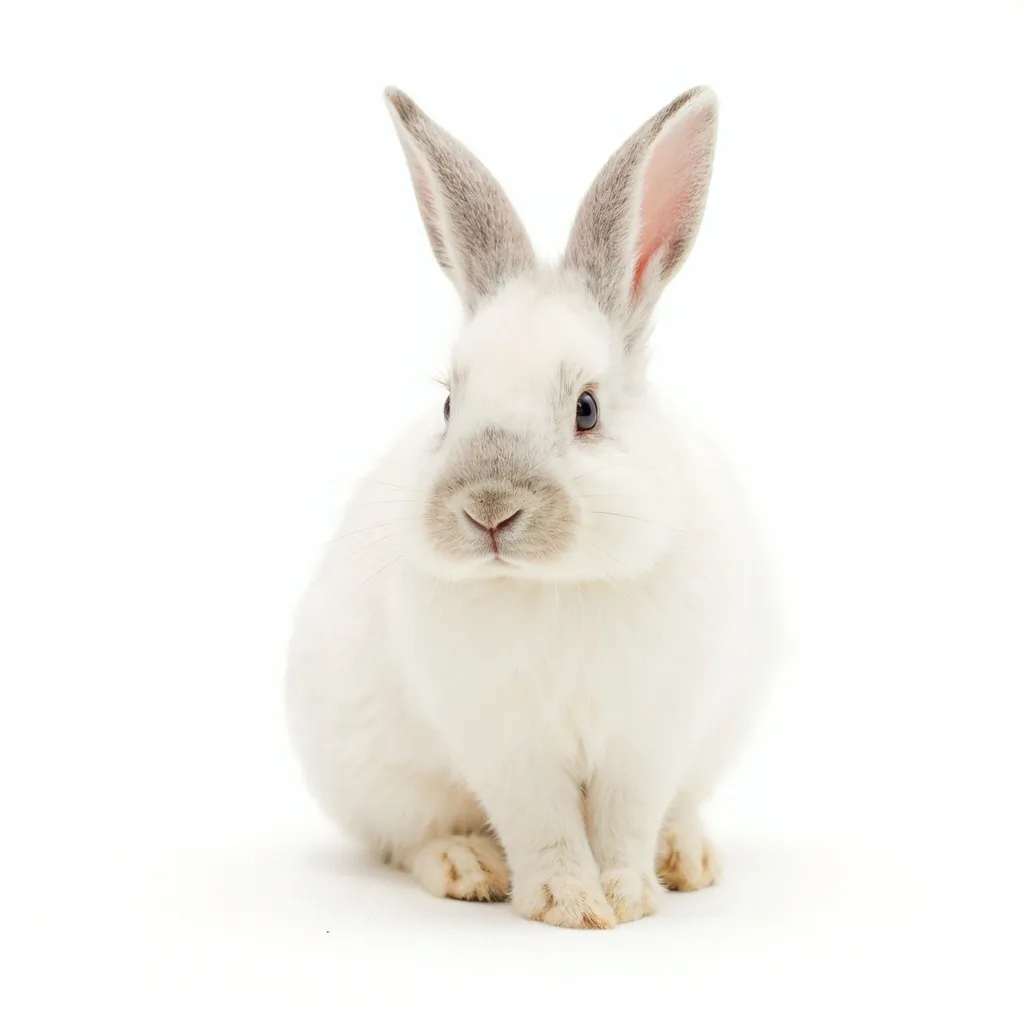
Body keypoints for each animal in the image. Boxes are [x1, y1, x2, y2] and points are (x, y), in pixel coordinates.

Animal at [286, 85, 782, 929]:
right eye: (450, 405)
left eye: (586, 408)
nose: (489, 511)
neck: (554, 588)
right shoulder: (504, 746)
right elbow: (542, 825)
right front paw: (566, 903)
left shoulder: (648, 739)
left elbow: (624, 820)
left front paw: (626, 896)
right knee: (407, 839)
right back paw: (464, 864)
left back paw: (687, 857)